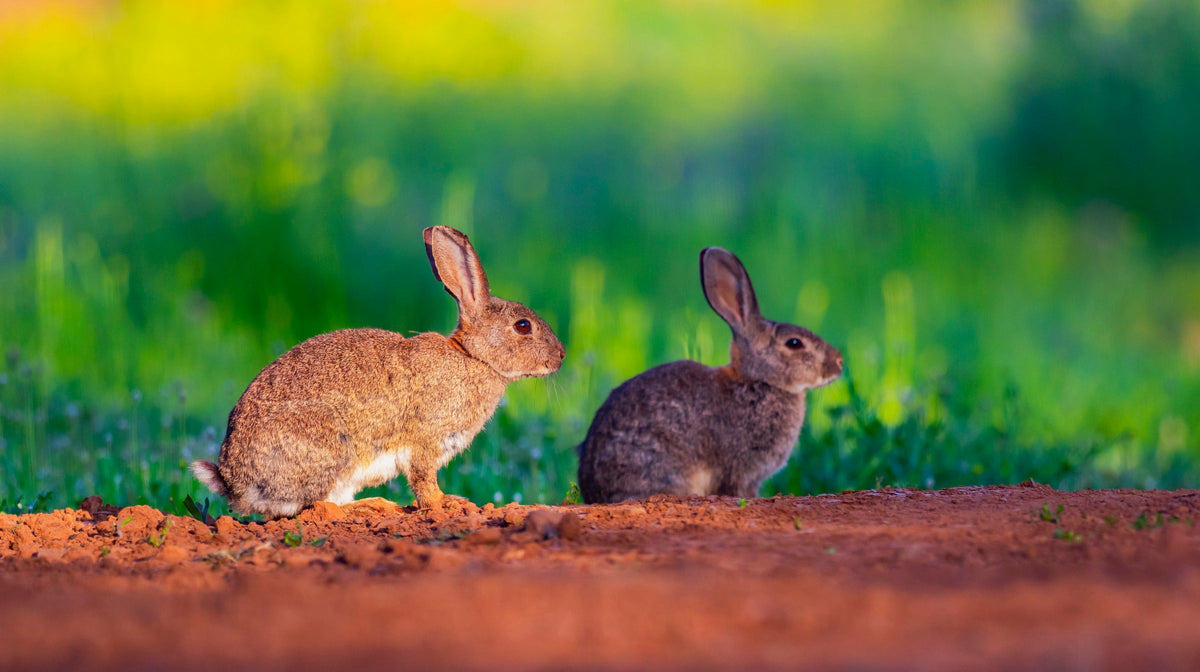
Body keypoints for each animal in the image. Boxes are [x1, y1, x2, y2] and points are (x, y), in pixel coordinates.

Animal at [190, 225, 565, 517]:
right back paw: (377, 506)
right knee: (318, 506)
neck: (474, 357)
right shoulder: (424, 442)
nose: (560, 356)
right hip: (331, 448)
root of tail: (234, 483)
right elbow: (424, 482)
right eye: (522, 326)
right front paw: (446, 504)